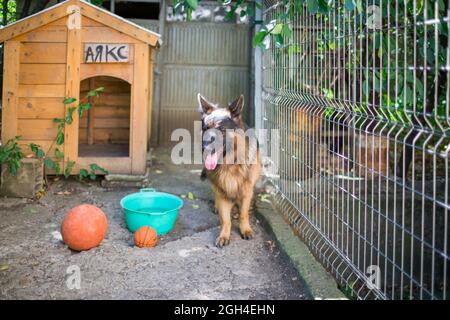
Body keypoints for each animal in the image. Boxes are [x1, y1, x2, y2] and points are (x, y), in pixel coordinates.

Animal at [199, 93, 262, 248]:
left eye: (221, 129)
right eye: (205, 128)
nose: (204, 147)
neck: (230, 164)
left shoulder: (247, 190)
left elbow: (243, 214)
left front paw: (245, 229)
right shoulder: (222, 191)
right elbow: (225, 219)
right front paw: (224, 235)